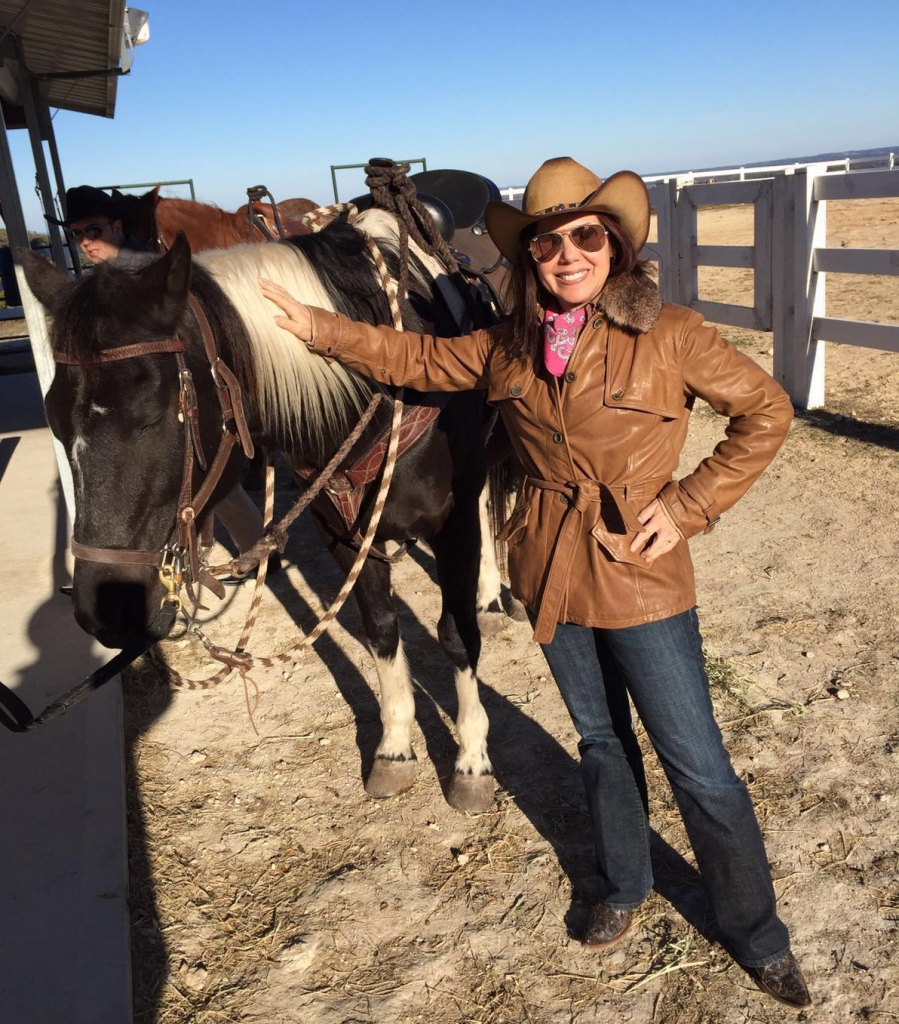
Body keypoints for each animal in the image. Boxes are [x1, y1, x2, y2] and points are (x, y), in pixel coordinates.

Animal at [23, 210, 509, 813]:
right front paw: (395, 747)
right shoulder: (344, 534)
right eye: (54, 418)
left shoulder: (453, 527)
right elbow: (381, 631)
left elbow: (455, 635)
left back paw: (492, 595)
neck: (386, 386)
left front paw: (472, 759)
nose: (103, 609)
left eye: (156, 413)